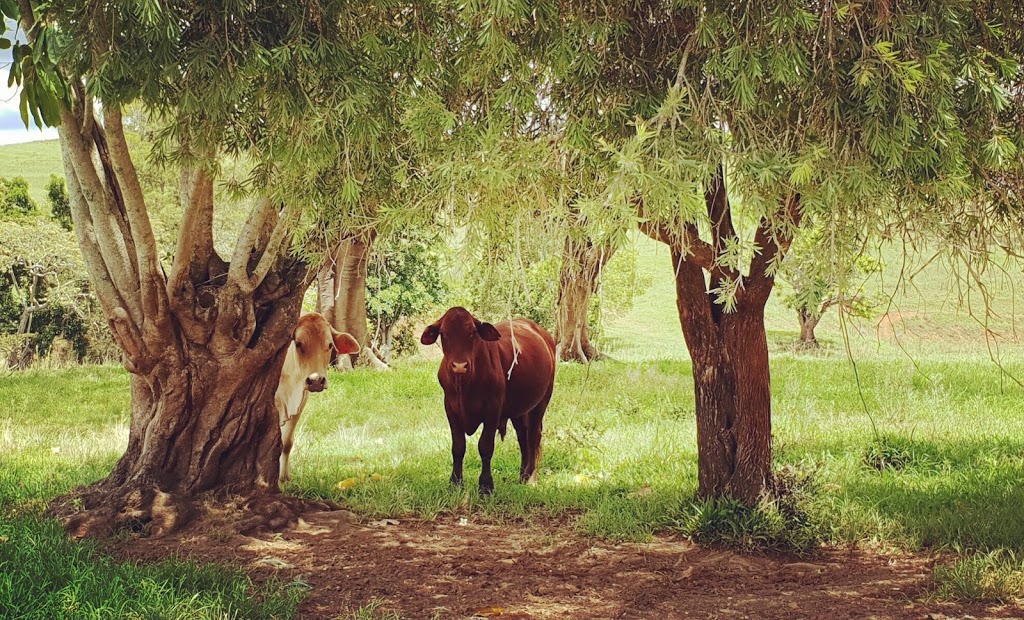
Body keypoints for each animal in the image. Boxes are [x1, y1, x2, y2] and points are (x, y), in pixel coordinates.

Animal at [276, 311, 360, 481]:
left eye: (329, 345)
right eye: (299, 343)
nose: (316, 381)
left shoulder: (300, 402)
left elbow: (287, 442)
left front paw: (284, 477)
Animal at [419, 305, 557, 493]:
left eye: (472, 333)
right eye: (444, 333)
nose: (459, 366)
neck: (465, 385)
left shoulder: (493, 410)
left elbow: (485, 446)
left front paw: (486, 486)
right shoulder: (450, 409)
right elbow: (458, 447)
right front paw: (455, 483)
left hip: (542, 400)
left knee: (533, 437)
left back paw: (531, 478)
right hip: (519, 409)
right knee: (523, 437)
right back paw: (522, 476)